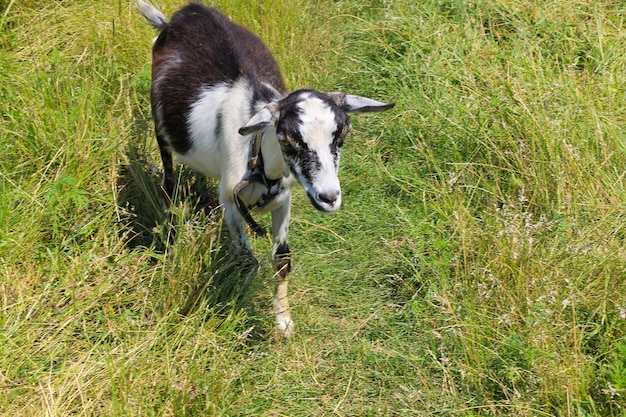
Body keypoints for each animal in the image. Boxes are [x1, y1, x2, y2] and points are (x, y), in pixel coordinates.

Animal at [136, 1, 392, 336]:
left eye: (342, 135)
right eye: (286, 138)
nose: (329, 197)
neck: (257, 155)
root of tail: (179, 17)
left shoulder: (283, 201)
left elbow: (281, 260)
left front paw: (283, 322)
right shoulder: (231, 202)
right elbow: (248, 259)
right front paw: (237, 311)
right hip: (161, 130)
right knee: (167, 180)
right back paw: (172, 225)